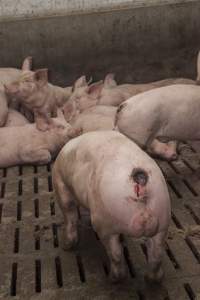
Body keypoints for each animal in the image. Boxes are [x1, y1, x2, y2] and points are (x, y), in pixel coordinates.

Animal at [52, 131, 170, 284]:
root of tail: (140, 181)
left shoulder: (59, 182)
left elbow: (69, 214)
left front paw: (66, 246)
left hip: (106, 221)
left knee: (116, 254)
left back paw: (112, 278)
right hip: (162, 215)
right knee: (157, 254)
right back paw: (151, 279)